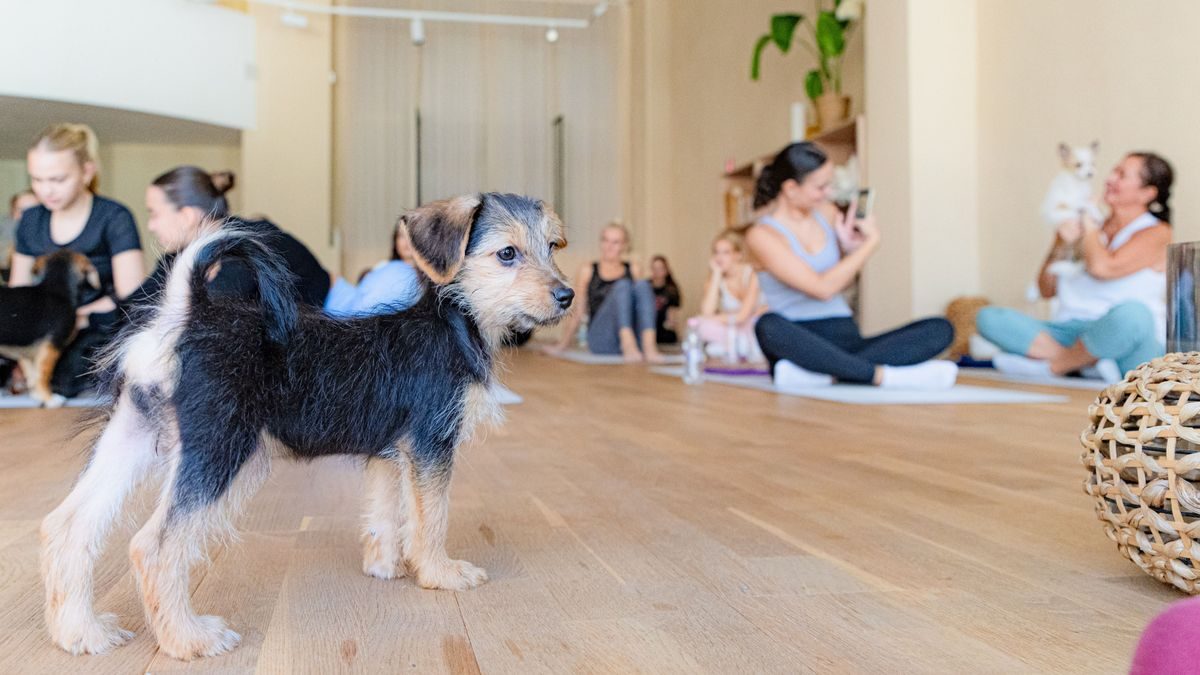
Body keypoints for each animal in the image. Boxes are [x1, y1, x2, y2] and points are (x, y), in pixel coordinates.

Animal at [0, 248, 99, 401]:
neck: (56, 287)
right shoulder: (52, 345)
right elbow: (44, 374)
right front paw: (49, 398)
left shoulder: (27, 351)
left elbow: (33, 375)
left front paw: (38, 396)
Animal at [39, 190, 573, 658]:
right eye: (507, 253)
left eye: (552, 246)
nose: (567, 295)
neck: (453, 321)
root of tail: (183, 315)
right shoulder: (432, 443)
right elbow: (432, 518)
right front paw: (440, 573)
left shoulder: (388, 451)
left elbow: (385, 512)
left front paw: (384, 567)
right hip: (221, 447)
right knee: (154, 547)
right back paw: (188, 639)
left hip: (131, 435)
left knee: (69, 524)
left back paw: (79, 632)